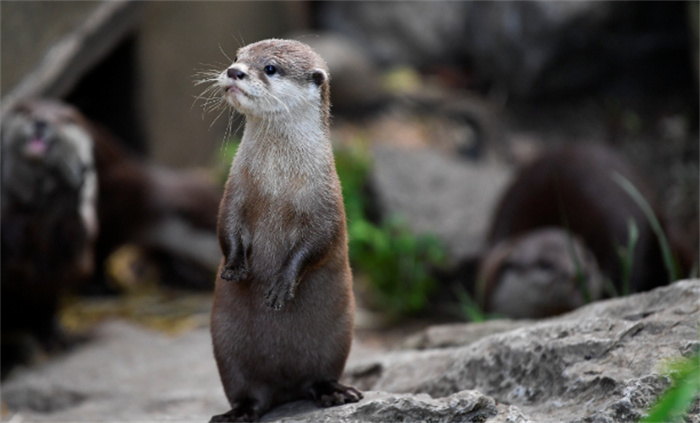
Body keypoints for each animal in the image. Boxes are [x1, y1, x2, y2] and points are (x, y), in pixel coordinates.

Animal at [206, 38, 360, 422]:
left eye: (271, 68)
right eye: (237, 57)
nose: (234, 71)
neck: (276, 183)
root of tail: (285, 389)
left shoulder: (327, 201)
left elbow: (318, 243)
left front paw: (281, 286)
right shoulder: (235, 190)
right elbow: (226, 227)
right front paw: (234, 267)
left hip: (337, 339)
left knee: (318, 376)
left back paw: (335, 392)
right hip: (227, 349)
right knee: (248, 393)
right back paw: (237, 413)